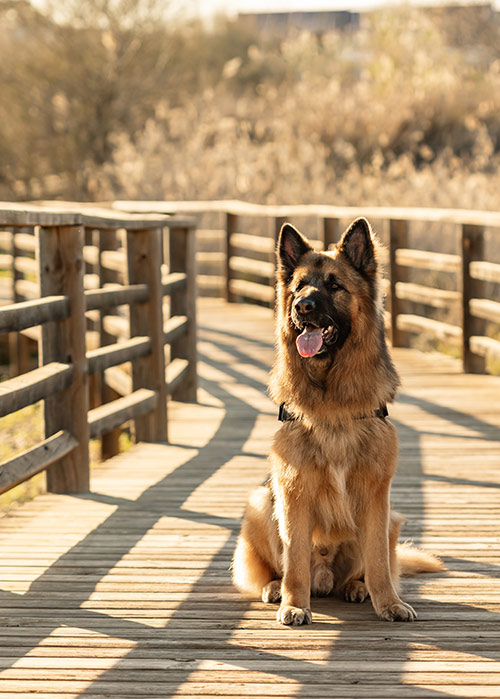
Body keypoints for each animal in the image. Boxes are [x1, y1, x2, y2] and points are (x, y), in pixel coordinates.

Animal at [230, 216, 442, 628]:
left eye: (334, 285)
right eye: (299, 286)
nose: (302, 306)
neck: (333, 400)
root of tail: (326, 576)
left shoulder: (377, 496)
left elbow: (378, 562)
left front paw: (388, 602)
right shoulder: (293, 492)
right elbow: (295, 559)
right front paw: (295, 604)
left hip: (391, 519)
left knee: (369, 567)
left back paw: (357, 587)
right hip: (260, 502)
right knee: (277, 568)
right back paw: (276, 588)